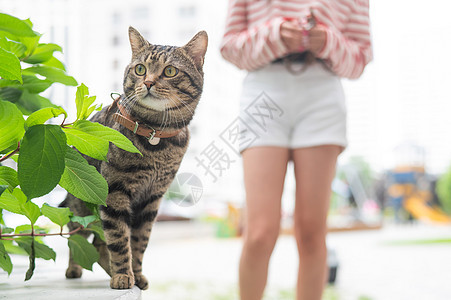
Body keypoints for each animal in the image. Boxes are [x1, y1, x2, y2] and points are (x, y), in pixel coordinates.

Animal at [60, 27, 208, 290]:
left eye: (170, 71)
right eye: (140, 69)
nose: (148, 82)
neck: (155, 137)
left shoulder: (152, 199)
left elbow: (139, 241)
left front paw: (136, 274)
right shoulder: (115, 192)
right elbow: (119, 239)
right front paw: (122, 275)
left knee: (99, 245)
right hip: (80, 207)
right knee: (77, 235)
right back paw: (74, 268)